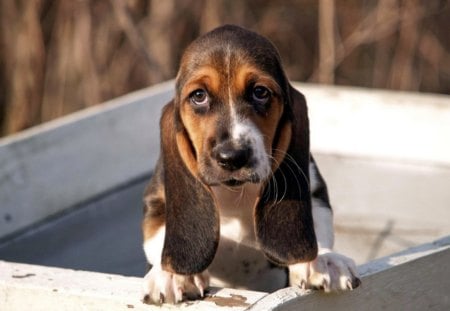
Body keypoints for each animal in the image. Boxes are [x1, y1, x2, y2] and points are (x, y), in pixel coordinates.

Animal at [142, 24, 360, 304]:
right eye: (199, 96)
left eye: (260, 92)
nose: (232, 156)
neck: (236, 192)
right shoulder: (157, 201)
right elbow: (158, 234)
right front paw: (172, 274)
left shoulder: (314, 189)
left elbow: (317, 223)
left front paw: (322, 259)